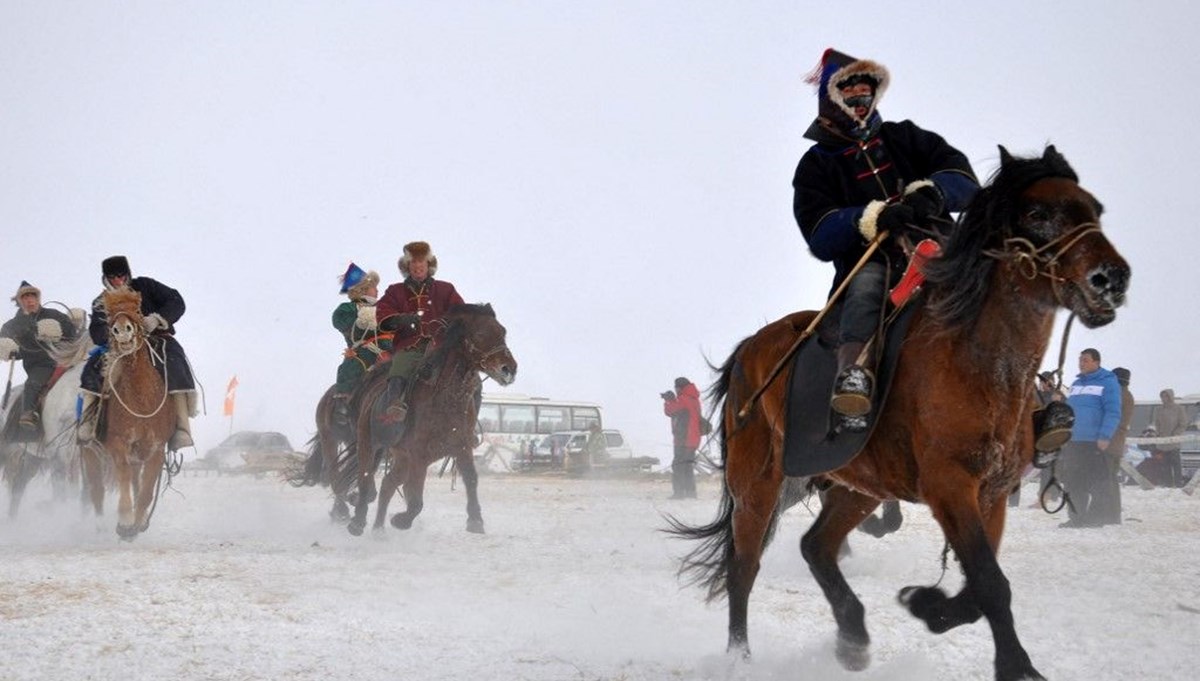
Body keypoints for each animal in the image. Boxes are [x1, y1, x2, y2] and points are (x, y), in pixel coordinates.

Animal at [88, 290, 177, 539]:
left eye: (138, 310)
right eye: (108, 315)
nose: (122, 330)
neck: (141, 403)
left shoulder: (156, 448)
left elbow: (146, 491)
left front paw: (139, 522)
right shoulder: (118, 443)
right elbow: (124, 476)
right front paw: (126, 522)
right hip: (90, 452)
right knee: (97, 487)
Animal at [343, 304, 520, 537]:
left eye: (502, 332)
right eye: (481, 334)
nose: (509, 369)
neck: (446, 399)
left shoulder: (461, 446)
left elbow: (471, 479)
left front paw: (475, 520)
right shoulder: (419, 453)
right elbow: (416, 500)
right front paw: (401, 520)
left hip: (402, 457)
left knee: (388, 483)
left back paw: (379, 529)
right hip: (369, 443)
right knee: (366, 477)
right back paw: (358, 522)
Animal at [672, 147, 1128, 681]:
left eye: (1095, 209)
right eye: (1037, 213)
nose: (1111, 278)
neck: (978, 364)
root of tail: (750, 347)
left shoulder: (991, 493)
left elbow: (979, 587)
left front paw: (927, 605)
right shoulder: (950, 485)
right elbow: (991, 584)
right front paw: (1016, 666)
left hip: (856, 486)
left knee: (816, 546)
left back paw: (852, 637)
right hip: (758, 484)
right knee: (743, 567)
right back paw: (740, 657)